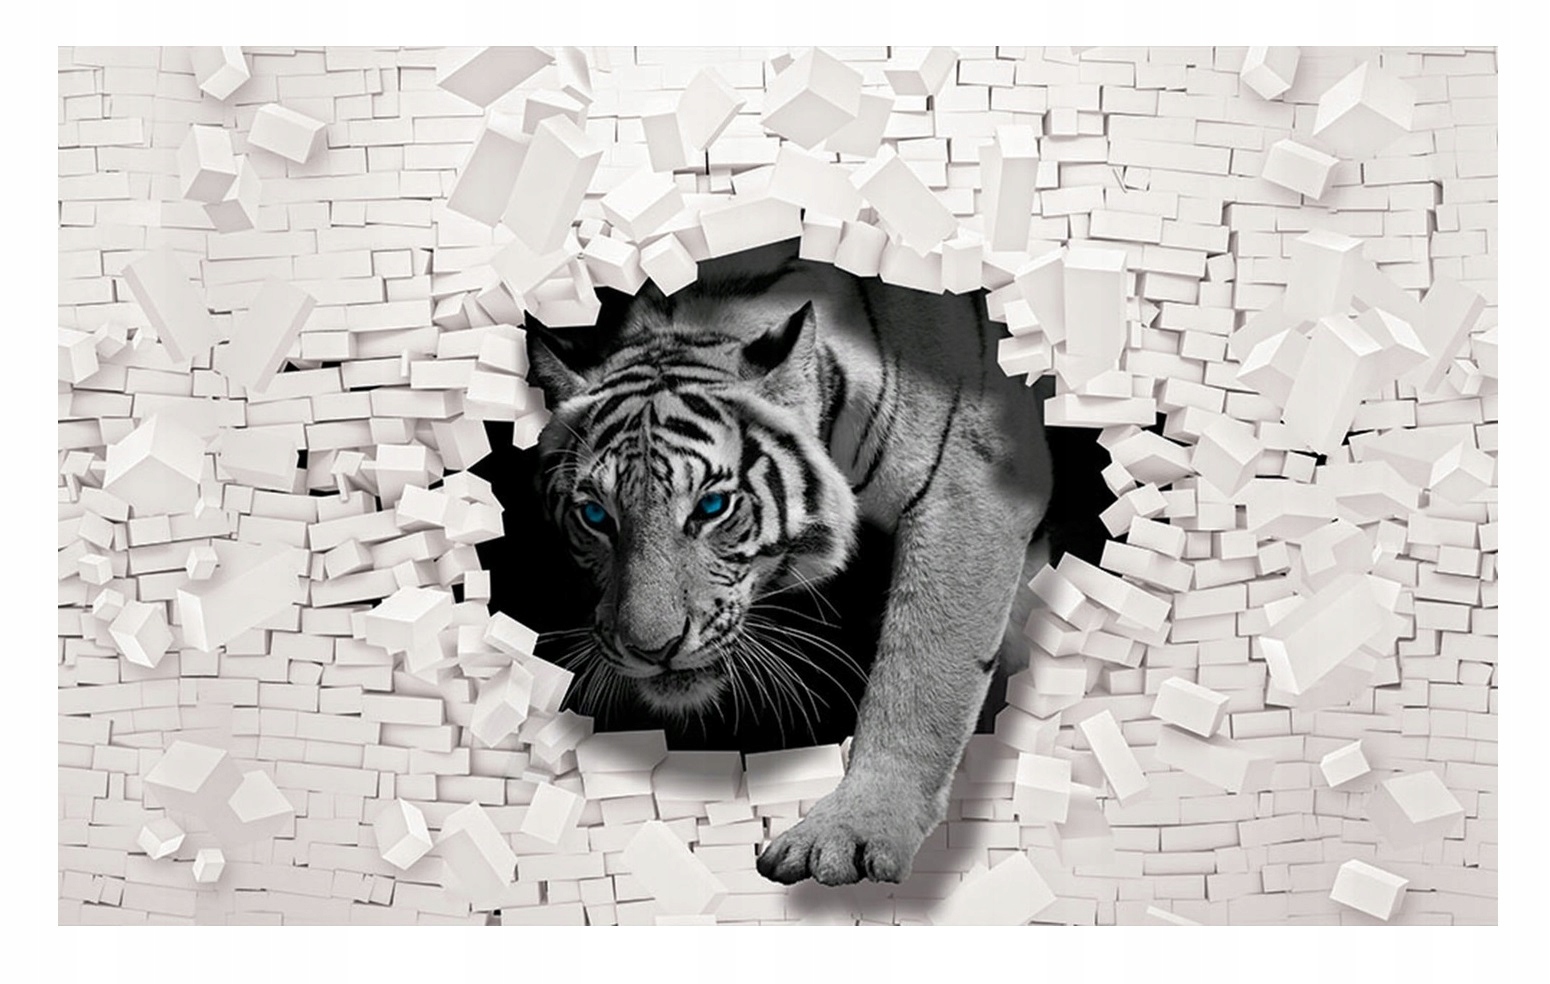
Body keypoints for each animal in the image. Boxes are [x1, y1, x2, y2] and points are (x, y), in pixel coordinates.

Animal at [525, 239, 1054, 887]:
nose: (652, 651)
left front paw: (853, 831)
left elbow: (921, 676)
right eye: (596, 516)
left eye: (712, 506)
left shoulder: (971, 486)